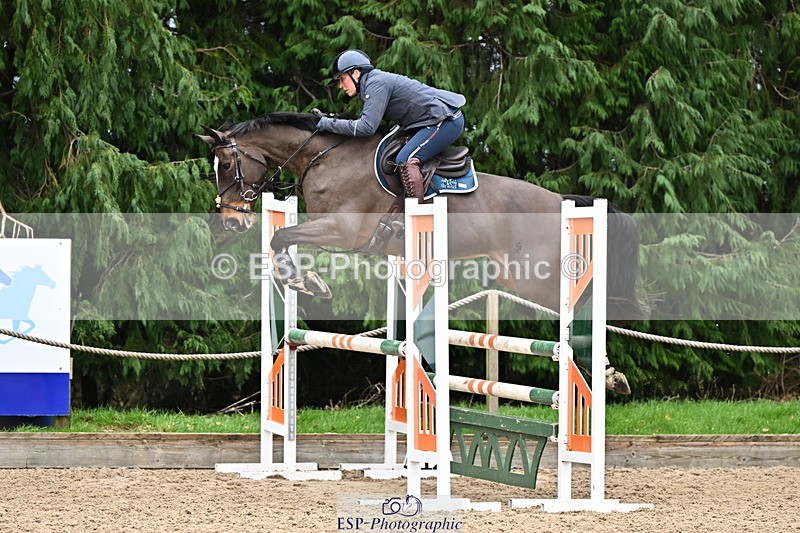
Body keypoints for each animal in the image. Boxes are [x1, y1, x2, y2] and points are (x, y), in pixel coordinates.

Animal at [199, 112, 646, 393]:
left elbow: (282, 239)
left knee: (581, 306)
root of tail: (561, 200)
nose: (231, 221)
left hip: (538, 277)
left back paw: (608, 374)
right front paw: (307, 281)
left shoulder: (344, 231)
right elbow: (283, 241)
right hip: (516, 273)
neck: (322, 158)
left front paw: (303, 280)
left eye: (225, 165)